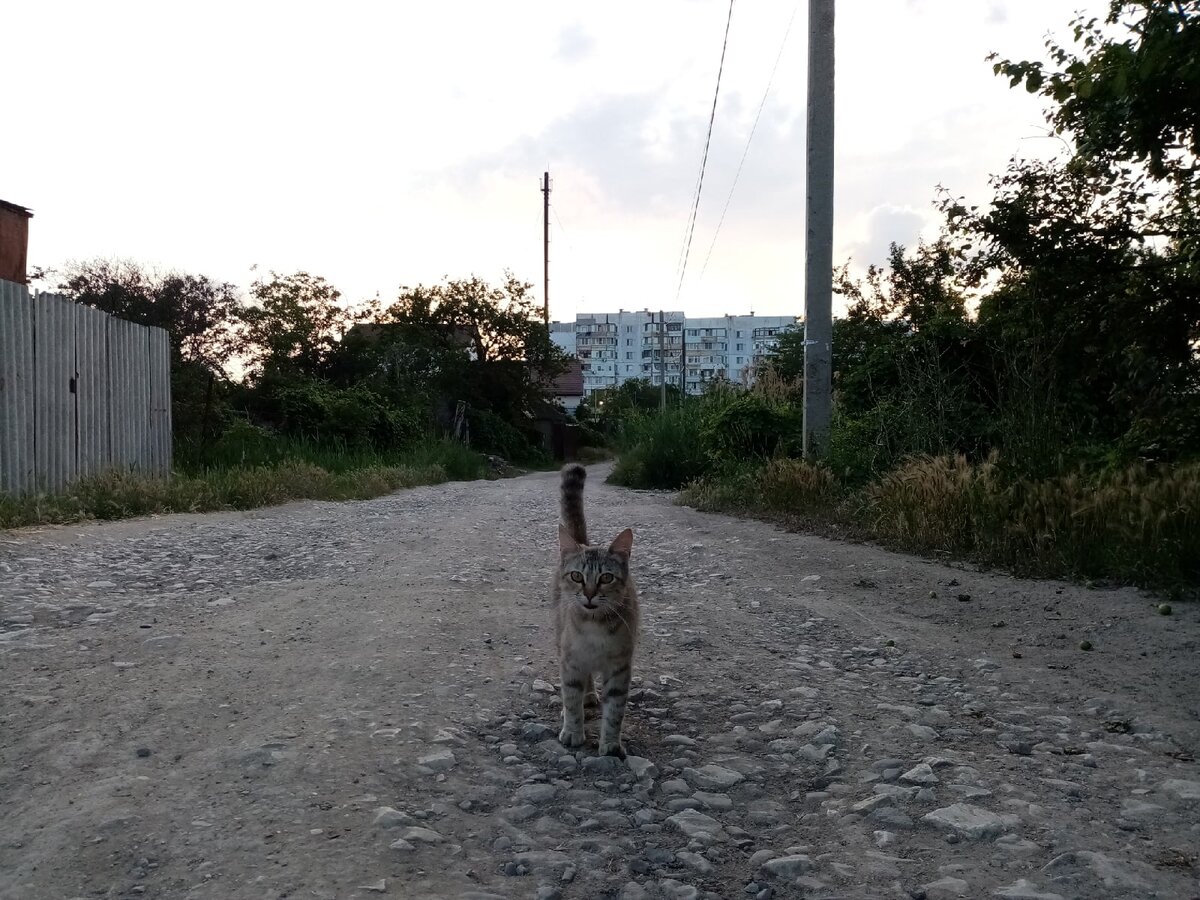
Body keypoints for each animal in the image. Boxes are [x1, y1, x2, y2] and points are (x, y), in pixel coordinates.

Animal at [549, 468, 638, 758]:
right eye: (577, 576)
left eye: (606, 577)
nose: (588, 594)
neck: (594, 625)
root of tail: (582, 542)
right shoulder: (571, 660)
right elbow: (571, 699)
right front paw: (573, 731)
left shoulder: (620, 667)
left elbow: (615, 711)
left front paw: (610, 743)